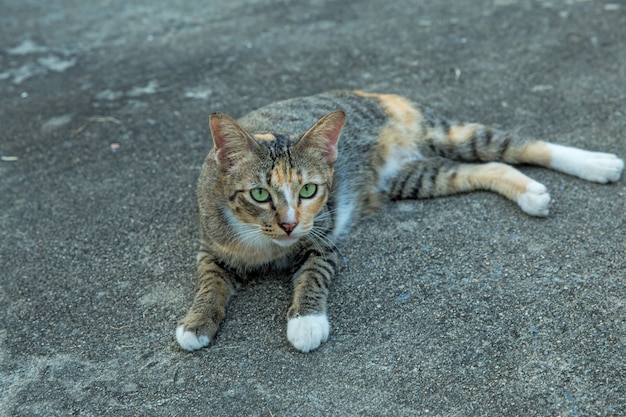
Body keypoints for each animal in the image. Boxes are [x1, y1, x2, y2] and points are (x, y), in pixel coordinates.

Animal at [173, 90, 620, 352]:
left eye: (309, 190)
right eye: (260, 195)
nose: (289, 225)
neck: (266, 244)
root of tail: (369, 91)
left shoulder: (324, 235)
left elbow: (314, 272)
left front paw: (306, 321)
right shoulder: (210, 245)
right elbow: (210, 282)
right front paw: (196, 322)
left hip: (445, 133)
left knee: (518, 145)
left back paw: (598, 163)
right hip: (414, 178)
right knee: (487, 166)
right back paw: (530, 192)